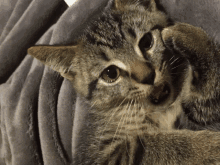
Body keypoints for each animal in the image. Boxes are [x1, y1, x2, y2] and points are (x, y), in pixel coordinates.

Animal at [27, 0, 220, 164]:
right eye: (111, 73)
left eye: (147, 42)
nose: (147, 76)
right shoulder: (102, 154)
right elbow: (148, 147)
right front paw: (208, 147)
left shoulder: (198, 112)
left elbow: (207, 96)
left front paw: (189, 35)